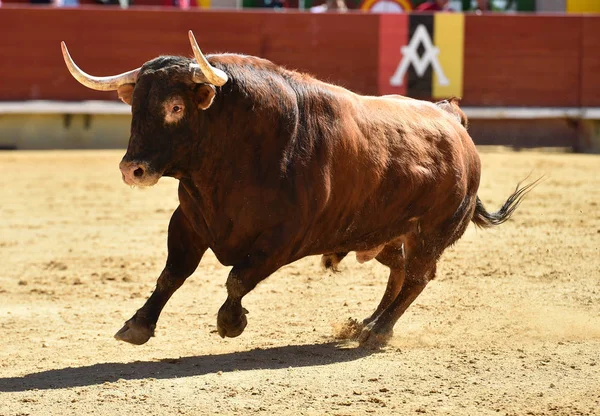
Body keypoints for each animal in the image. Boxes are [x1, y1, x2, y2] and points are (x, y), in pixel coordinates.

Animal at [62, 30, 540, 346]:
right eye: (135, 108)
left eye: (176, 106)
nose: (133, 169)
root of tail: (452, 121)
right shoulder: (189, 222)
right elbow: (171, 275)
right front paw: (137, 325)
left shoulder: (285, 239)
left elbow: (238, 278)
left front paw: (231, 323)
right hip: (381, 233)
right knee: (400, 270)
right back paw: (366, 324)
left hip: (433, 233)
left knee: (419, 275)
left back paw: (378, 332)